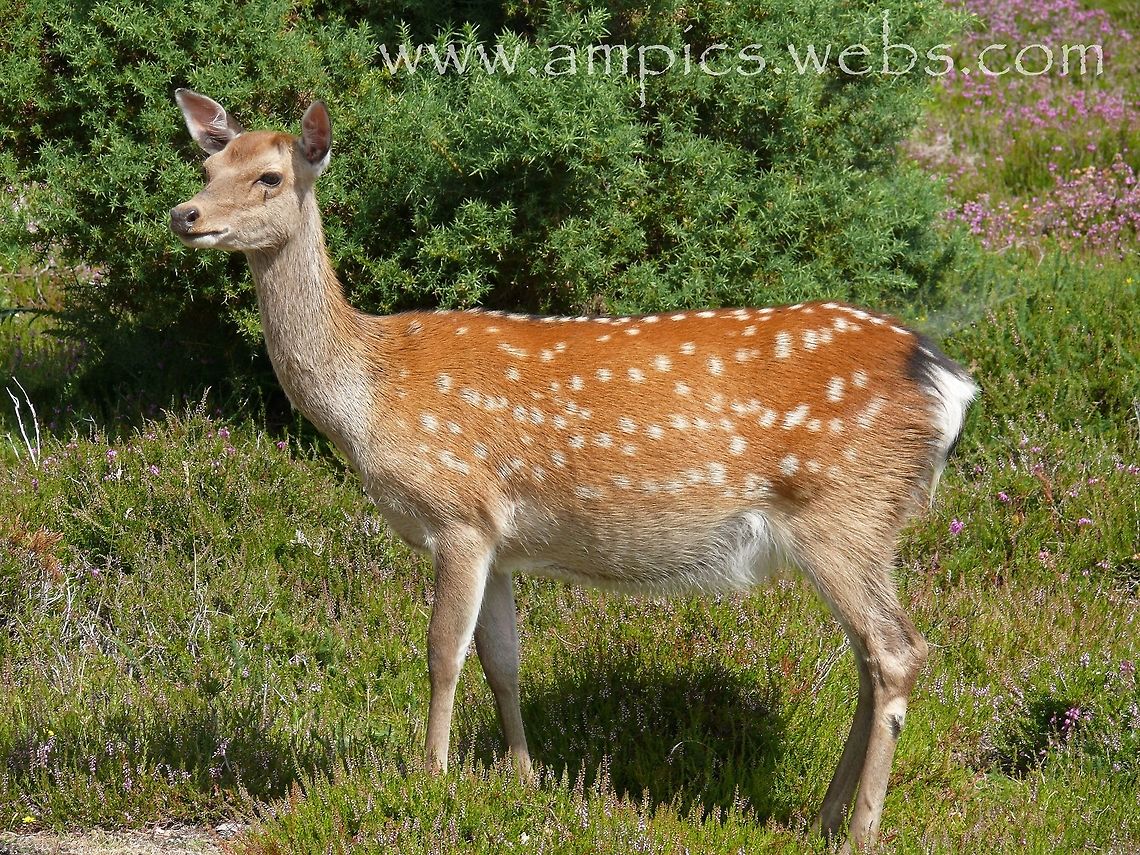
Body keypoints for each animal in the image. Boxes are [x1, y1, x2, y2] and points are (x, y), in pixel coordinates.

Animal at [170, 89, 977, 852]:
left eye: (270, 177)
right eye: (209, 166)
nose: (185, 214)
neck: (369, 396)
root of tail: (950, 384)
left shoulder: (458, 511)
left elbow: (442, 654)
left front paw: (429, 781)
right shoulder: (500, 541)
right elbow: (502, 660)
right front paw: (525, 781)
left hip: (845, 511)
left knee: (897, 652)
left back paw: (861, 830)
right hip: (860, 526)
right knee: (870, 659)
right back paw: (824, 815)